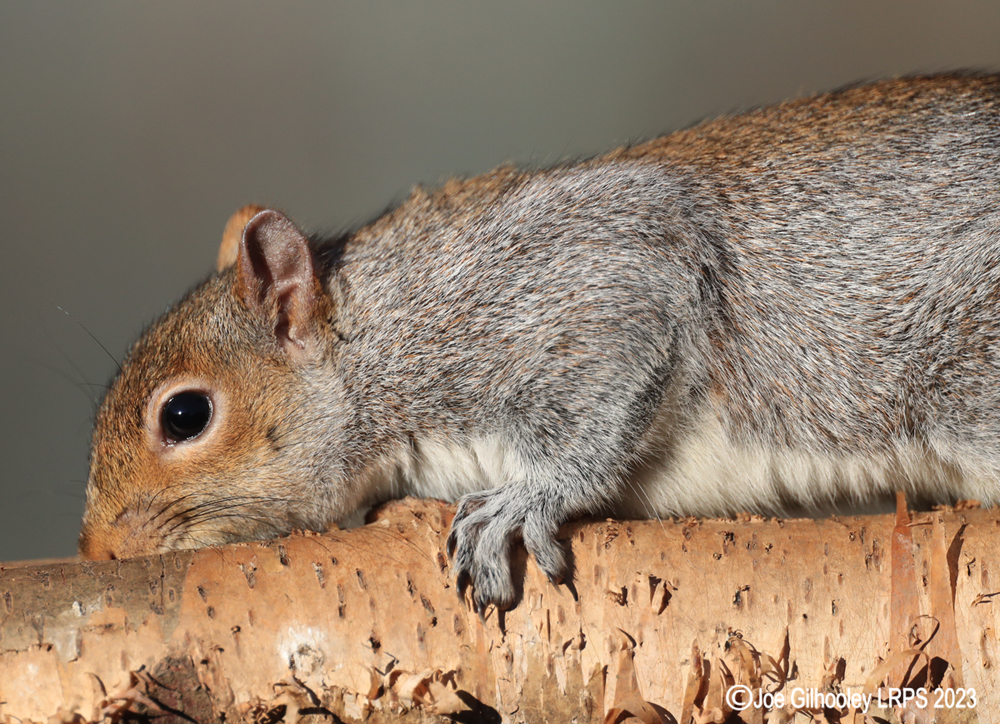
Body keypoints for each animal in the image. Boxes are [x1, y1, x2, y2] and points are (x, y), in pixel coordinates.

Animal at [79, 73, 1000, 610]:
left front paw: (527, 499)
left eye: (185, 415)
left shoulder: (580, 282)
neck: (375, 335)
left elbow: (603, 387)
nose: (96, 551)